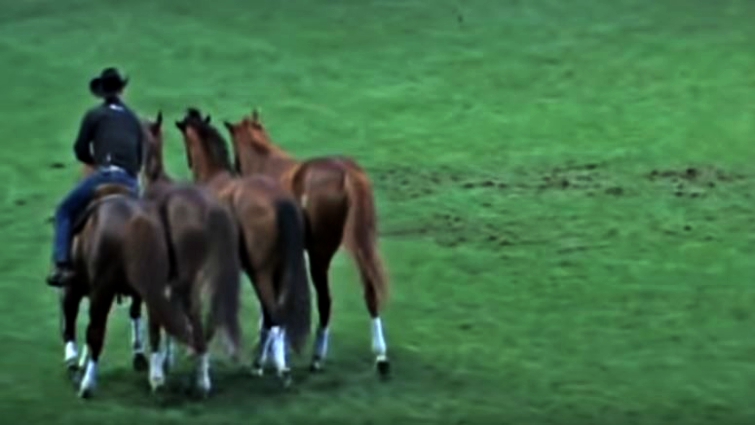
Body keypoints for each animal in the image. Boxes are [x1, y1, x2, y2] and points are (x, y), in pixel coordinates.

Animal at [59, 166, 194, 398]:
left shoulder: (79, 287)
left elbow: (75, 322)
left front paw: (74, 364)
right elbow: (136, 314)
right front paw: (140, 356)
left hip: (100, 290)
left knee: (95, 331)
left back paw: (87, 383)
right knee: (155, 327)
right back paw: (157, 377)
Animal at [174, 107, 311, 385]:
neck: (213, 178)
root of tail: (279, 201)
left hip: (260, 273)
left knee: (272, 314)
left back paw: (274, 367)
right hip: (280, 271)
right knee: (274, 315)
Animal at [223, 109, 390, 376]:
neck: (267, 166)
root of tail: (345, 172)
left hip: (319, 255)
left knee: (325, 301)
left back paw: (317, 357)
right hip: (361, 245)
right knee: (370, 291)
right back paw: (381, 355)